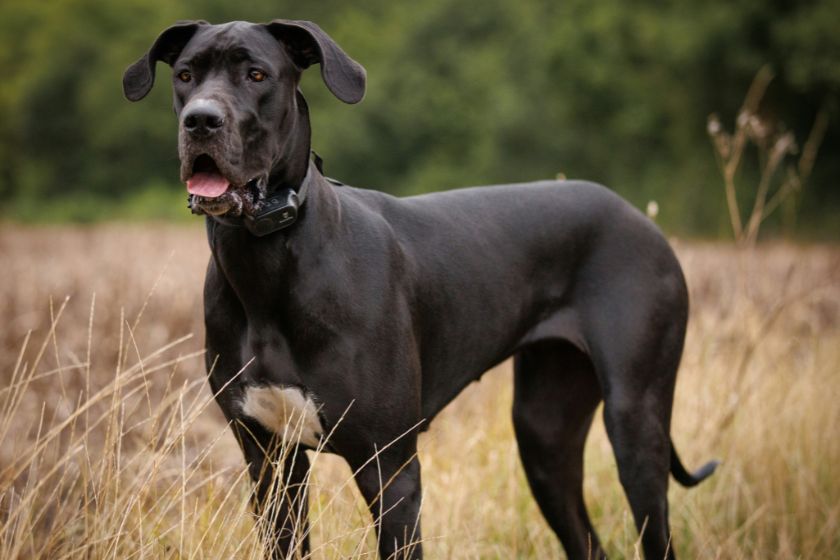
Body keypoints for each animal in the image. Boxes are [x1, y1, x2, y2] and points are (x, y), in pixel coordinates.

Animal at [123, 19, 716, 556]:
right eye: (185, 74)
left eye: (256, 74)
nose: (201, 121)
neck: (266, 258)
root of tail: (642, 219)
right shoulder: (270, 464)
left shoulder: (390, 469)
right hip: (544, 434)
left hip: (634, 421)